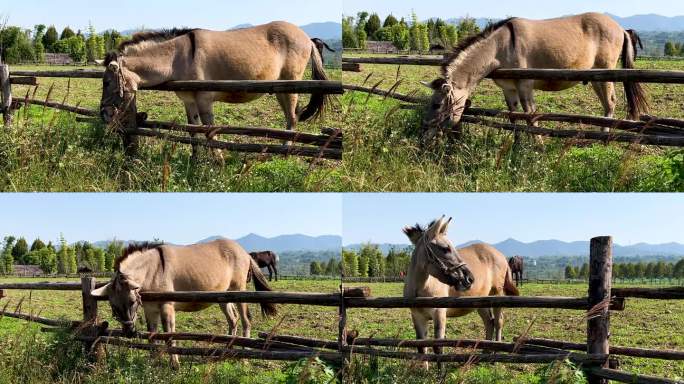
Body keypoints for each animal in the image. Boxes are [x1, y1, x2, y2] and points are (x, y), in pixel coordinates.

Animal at [91, 238, 278, 368]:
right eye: (113, 305)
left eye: (131, 302)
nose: (129, 332)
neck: (152, 270)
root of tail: (244, 251)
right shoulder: (150, 310)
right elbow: (152, 336)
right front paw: (153, 362)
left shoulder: (167, 307)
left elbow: (169, 336)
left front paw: (174, 365)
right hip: (223, 297)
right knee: (233, 320)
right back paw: (227, 351)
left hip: (239, 292)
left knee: (246, 320)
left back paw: (244, 357)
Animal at [100, 21, 332, 155]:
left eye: (106, 82)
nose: (103, 114)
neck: (178, 58)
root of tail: (306, 37)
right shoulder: (189, 101)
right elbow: (192, 132)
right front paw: (195, 160)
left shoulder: (204, 100)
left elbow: (210, 133)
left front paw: (217, 165)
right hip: (281, 89)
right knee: (290, 117)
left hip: (290, 84)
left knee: (292, 118)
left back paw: (284, 152)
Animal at [400, 218, 520, 362]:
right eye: (445, 249)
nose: (469, 278)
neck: (421, 288)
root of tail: (501, 255)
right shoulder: (417, 317)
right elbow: (422, 348)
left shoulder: (439, 314)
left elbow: (438, 348)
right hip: (481, 302)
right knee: (489, 322)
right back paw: (485, 352)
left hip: (497, 295)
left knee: (498, 321)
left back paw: (495, 354)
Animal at [424, 12, 648, 140]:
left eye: (436, 105)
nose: (424, 135)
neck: (500, 47)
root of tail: (620, 27)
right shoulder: (509, 89)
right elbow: (514, 118)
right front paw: (515, 145)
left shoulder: (525, 86)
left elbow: (531, 118)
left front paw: (537, 147)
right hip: (595, 78)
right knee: (606, 104)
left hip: (605, 73)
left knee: (610, 102)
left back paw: (602, 140)